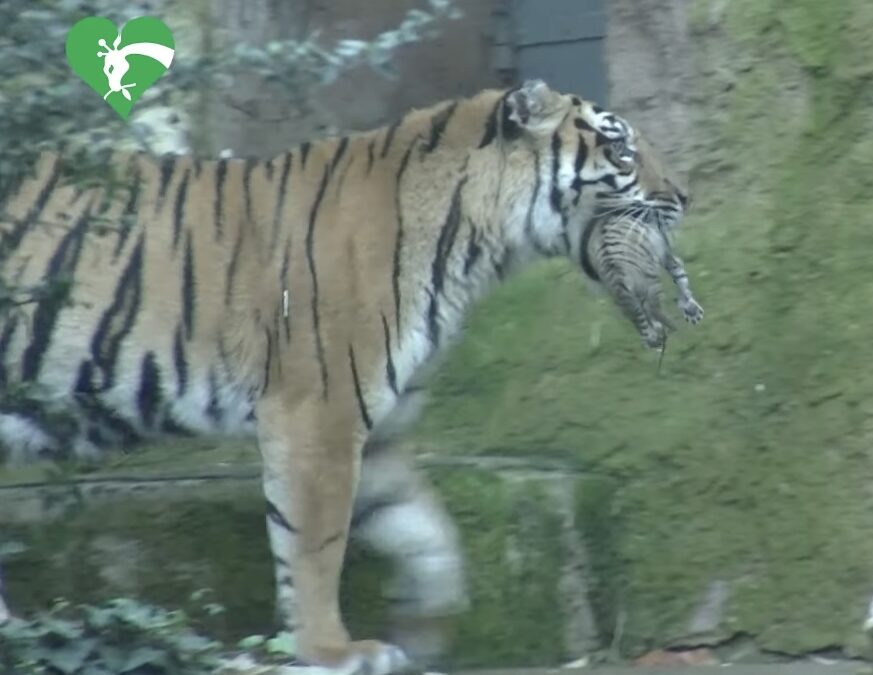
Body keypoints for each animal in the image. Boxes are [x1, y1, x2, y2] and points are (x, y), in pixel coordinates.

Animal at [0, 80, 688, 675]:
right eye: (621, 149)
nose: (685, 198)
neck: (477, 244)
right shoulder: (318, 414)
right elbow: (315, 544)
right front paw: (331, 651)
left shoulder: (382, 430)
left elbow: (430, 538)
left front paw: (426, 634)